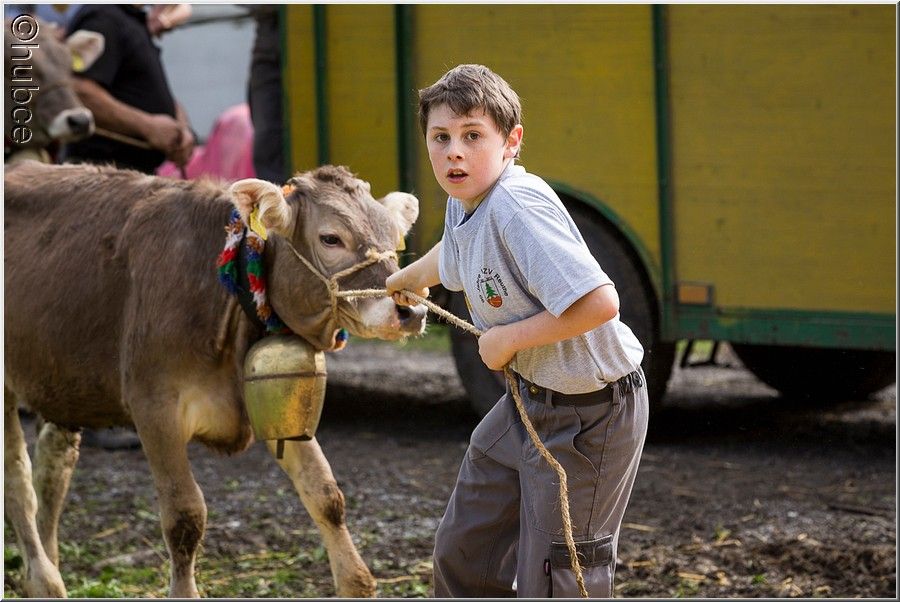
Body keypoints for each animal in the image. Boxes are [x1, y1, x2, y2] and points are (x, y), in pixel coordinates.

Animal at [4, 160, 427, 598]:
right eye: (330, 238)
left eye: (395, 240)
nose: (411, 310)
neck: (223, 293)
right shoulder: (154, 407)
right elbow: (185, 515)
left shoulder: (278, 403)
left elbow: (325, 494)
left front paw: (355, 582)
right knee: (18, 482)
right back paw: (44, 579)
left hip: (59, 376)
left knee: (52, 469)